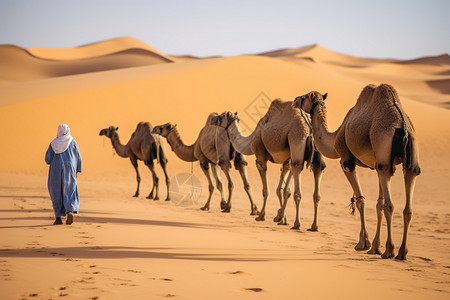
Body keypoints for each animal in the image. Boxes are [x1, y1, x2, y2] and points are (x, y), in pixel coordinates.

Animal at [211, 99, 326, 231]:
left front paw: (261, 216)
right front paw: (282, 219)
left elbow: (266, 190)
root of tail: (309, 128)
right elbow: (283, 189)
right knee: (317, 170)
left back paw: (297, 224)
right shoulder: (287, 158)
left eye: (221, 116)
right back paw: (313, 226)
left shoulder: (260, 155)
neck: (249, 141)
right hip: (315, 147)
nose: (212, 119)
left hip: (296, 138)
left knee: (297, 174)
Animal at [294, 83, 420, 258]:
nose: (295, 100)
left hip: (382, 143)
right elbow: (378, 205)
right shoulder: (378, 163)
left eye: (305, 97)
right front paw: (374, 247)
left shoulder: (346, 159)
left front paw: (363, 243)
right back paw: (402, 252)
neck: (334, 138)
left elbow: (361, 200)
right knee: (408, 196)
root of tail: (403, 126)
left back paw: (389, 251)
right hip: (406, 157)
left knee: (390, 205)